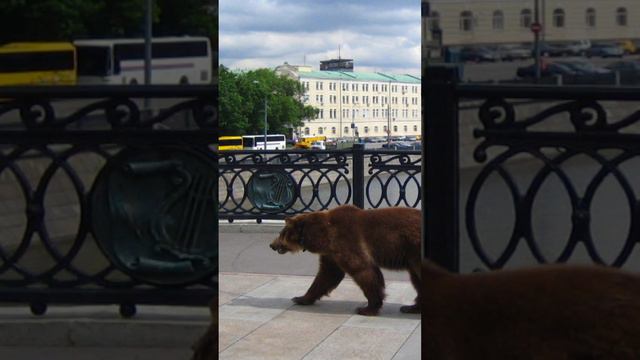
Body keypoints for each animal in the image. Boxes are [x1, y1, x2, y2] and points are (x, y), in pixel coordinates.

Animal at [268, 205, 422, 316]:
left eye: (281, 233)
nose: (272, 245)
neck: (322, 235)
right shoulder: (331, 253)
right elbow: (326, 275)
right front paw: (301, 298)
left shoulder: (346, 240)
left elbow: (363, 270)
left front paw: (366, 308)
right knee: (417, 280)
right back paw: (411, 307)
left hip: (415, 249)